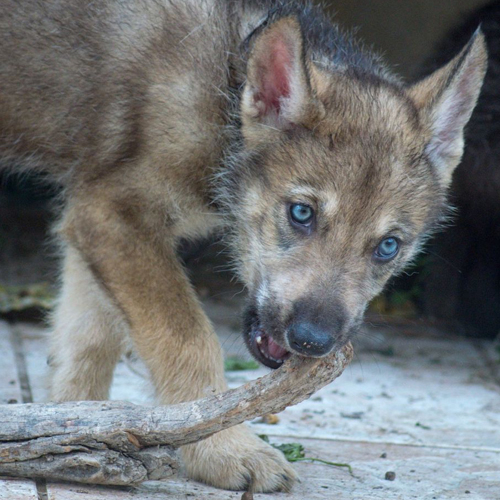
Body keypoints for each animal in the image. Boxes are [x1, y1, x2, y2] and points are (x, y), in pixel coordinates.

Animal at [0, 0, 484, 492]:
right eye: (301, 213)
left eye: (388, 246)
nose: (312, 341)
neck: (226, 93)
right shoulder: (114, 215)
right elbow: (189, 339)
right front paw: (224, 449)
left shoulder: (93, 219)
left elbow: (88, 340)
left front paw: (80, 433)